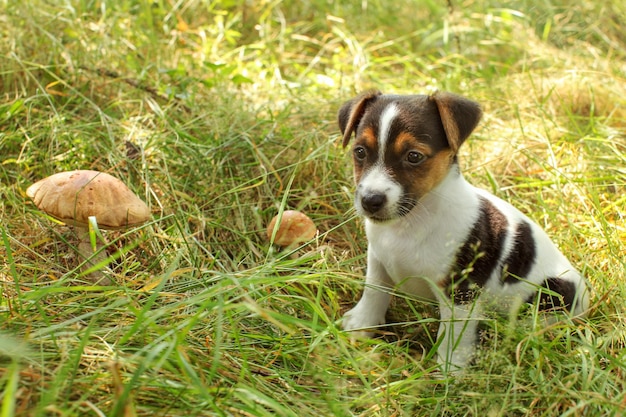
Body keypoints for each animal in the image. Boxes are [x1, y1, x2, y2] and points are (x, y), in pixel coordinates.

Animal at [338, 89, 588, 372]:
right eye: (360, 152)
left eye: (414, 156)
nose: (370, 200)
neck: (412, 221)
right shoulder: (378, 259)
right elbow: (374, 291)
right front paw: (361, 325)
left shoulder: (460, 292)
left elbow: (453, 335)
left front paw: (450, 369)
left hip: (555, 290)